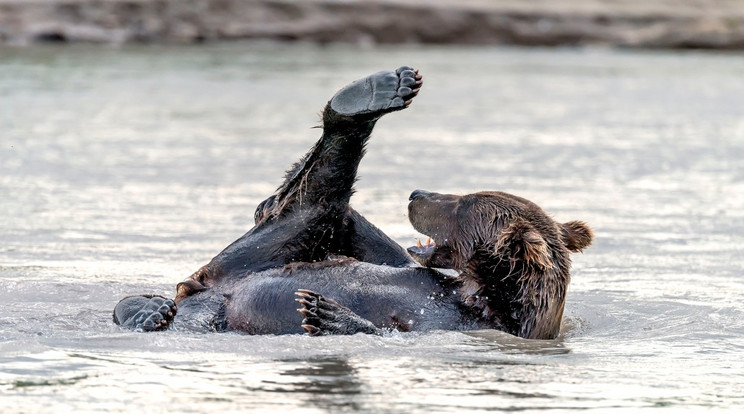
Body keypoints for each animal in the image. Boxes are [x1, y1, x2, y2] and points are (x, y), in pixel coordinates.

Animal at [115, 67, 592, 340]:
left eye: (462, 205)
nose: (417, 194)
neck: (481, 294)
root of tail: (202, 295)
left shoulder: (457, 323)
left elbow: (383, 325)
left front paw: (324, 312)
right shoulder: (427, 277)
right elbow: (362, 238)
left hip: (222, 292)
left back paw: (148, 312)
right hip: (238, 269)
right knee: (314, 206)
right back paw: (377, 90)